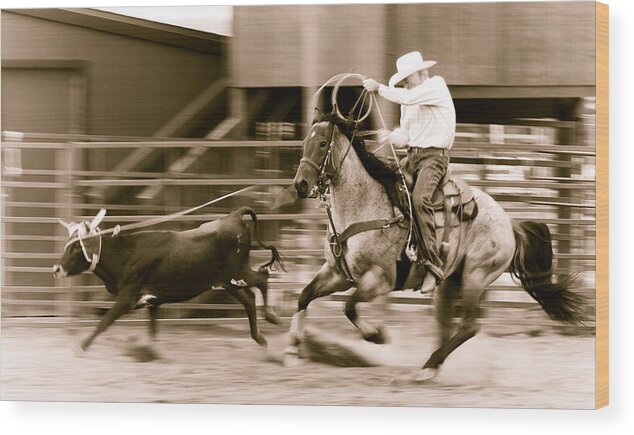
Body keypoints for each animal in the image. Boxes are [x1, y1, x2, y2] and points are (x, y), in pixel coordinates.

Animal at [284, 115, 580, 382]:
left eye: (323, 143)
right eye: (304, 143)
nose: (300, 184)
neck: (363, 204)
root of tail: (509, 223)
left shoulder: (379, 279)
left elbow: (349, 307)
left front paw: (377, 335)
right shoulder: (338, 273)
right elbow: (304, 295)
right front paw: (292, 346)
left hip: (476, 275)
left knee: (469, 326)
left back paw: (428, 366)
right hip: (450, 281)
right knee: (446, 324)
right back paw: (432, 366)